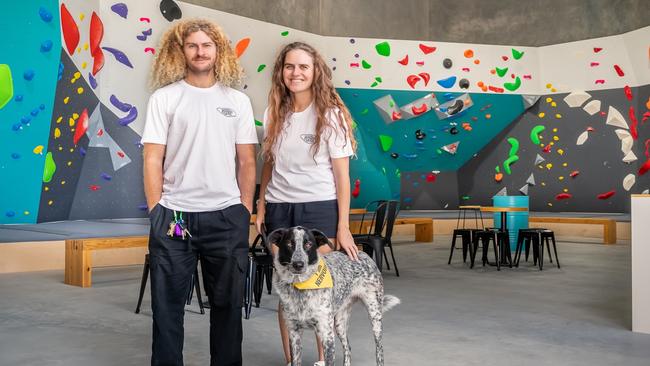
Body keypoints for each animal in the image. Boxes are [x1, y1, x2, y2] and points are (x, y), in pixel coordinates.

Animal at [264, 226, 398, 366]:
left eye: (308, 244)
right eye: (289, 244)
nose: (298, 264)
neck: (301, 287)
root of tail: (363, 253)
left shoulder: (327, 335)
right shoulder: (294, 333)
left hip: (374, 316)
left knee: (379, 349)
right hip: (339, 323)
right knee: (348, 348)